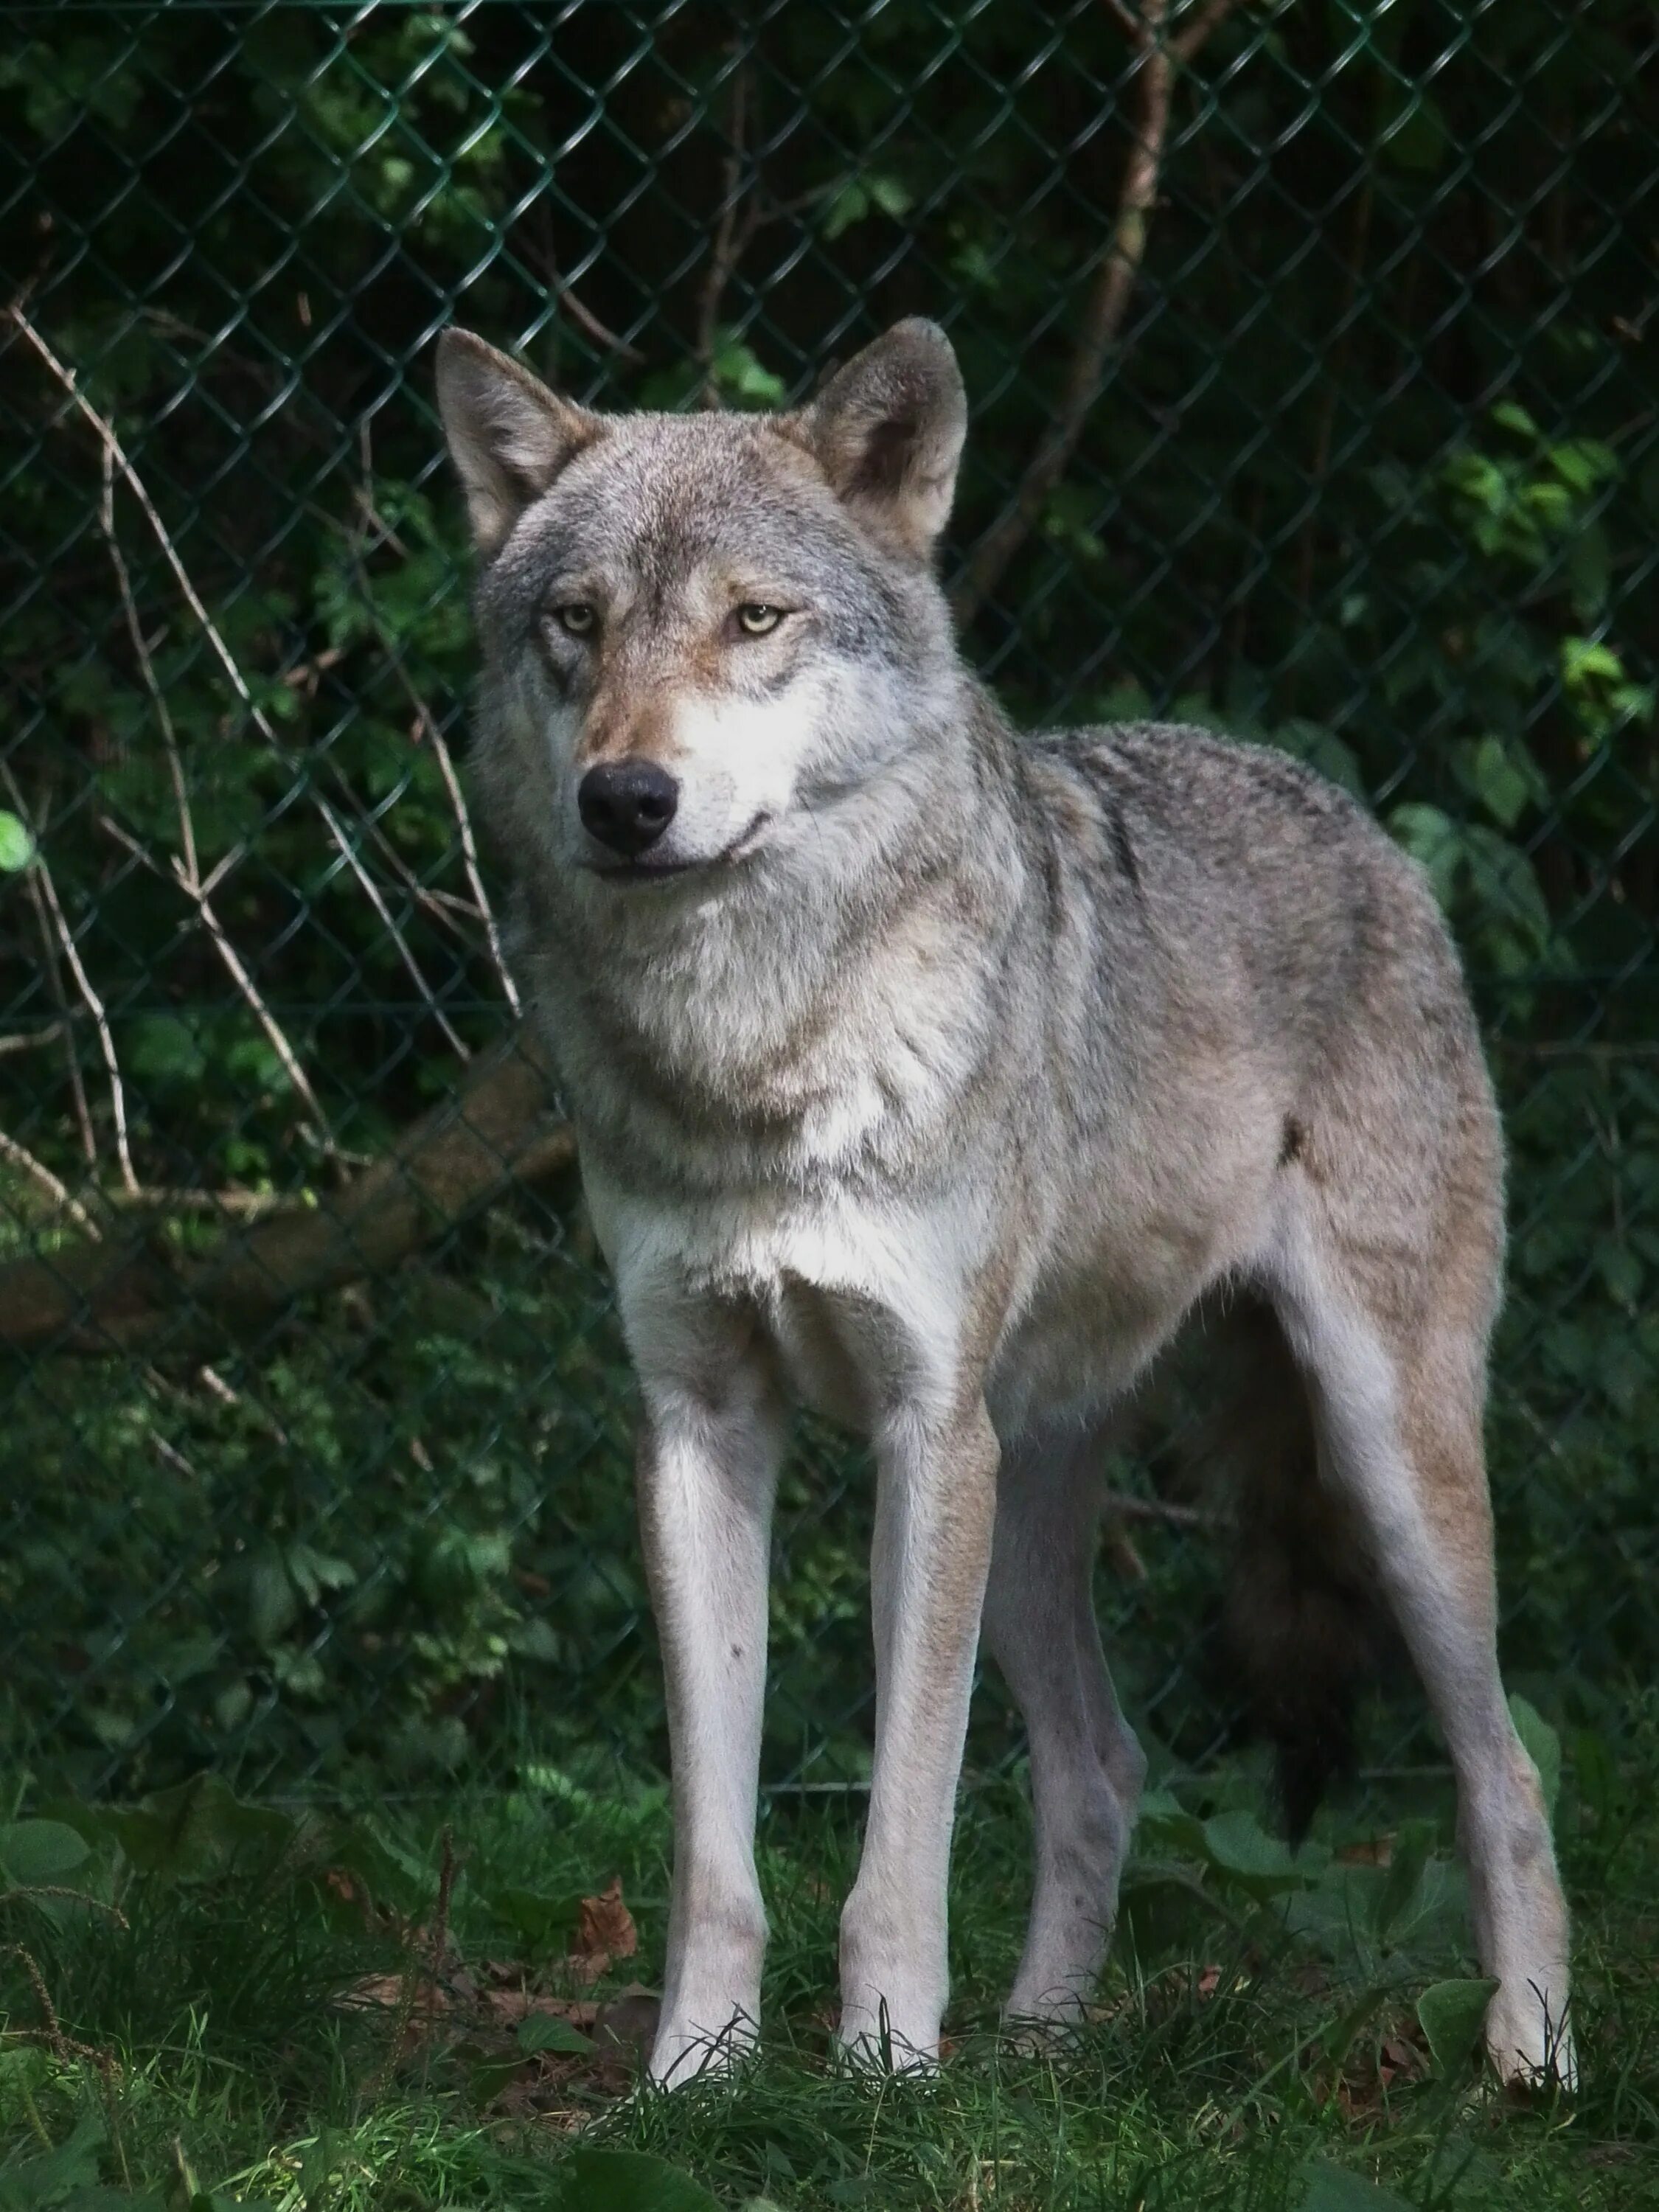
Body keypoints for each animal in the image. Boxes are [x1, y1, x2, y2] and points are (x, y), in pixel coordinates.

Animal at [436, 316, 1575, 2088]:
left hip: (1379, 1461)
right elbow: (715, 1845)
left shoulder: (923, 1428)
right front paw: (694, 2081)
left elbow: (899, 1824)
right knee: (1106, 1767)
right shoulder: (698, 1424)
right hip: (1033, 1493)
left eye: (754, 619)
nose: (626, 800)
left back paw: (1529, 2062)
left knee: (1505, 1769)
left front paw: (883, 2073)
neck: (760, 1057)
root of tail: (1363, 823)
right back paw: (1043, 2059)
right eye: (578, 623)